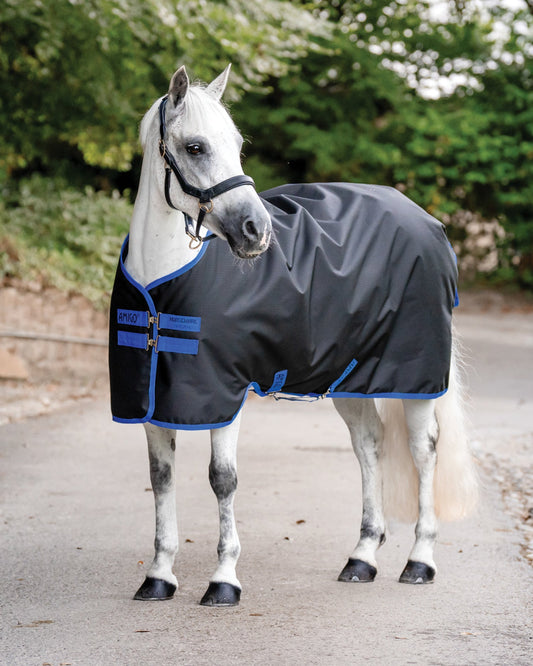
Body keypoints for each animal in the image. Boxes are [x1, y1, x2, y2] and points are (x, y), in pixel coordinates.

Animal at [108, 65, 478, 607]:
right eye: (195, 146)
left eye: (238, 143)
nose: (256, 231)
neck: (162, 284)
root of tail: (428, 221)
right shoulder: (154, 400)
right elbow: (161, 480)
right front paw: (159, 576)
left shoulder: (226, 394)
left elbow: (222, 480)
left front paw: (224, 580)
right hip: (350, 378)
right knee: (369, 445)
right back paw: (362, 558)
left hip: (415, 377)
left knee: (422, 449)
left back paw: (420, 561)